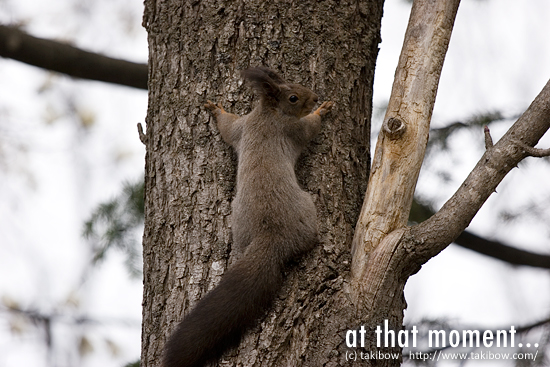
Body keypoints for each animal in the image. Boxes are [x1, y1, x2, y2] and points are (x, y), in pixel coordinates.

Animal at [164, 67, 334, 367]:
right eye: (293, 97)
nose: (314, 97)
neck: (266, 113)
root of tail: (271, 239)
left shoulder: (241, 127)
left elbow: (227, 127)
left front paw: (216, 109)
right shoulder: (292, 129)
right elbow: (310, 128)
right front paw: (322, 110)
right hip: (307, 207)